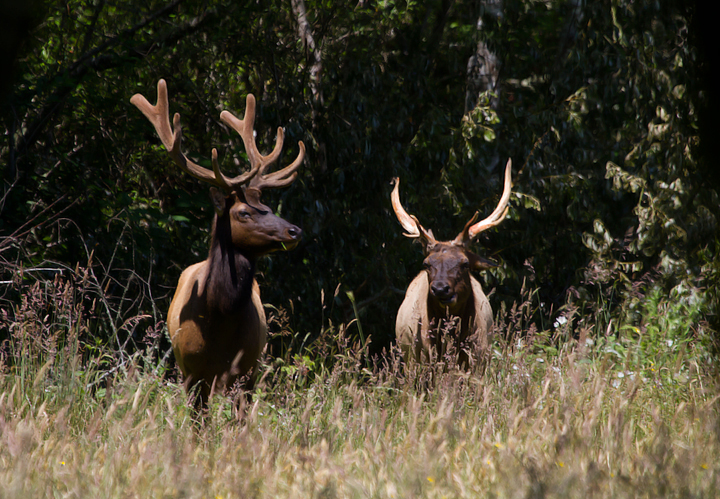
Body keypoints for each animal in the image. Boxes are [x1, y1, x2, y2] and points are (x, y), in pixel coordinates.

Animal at [131, 80, 306, 408]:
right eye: (244, 212)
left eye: (268, 206)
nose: (294, 231)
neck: (217, 320)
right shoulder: (191, 371)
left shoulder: (244, 370)